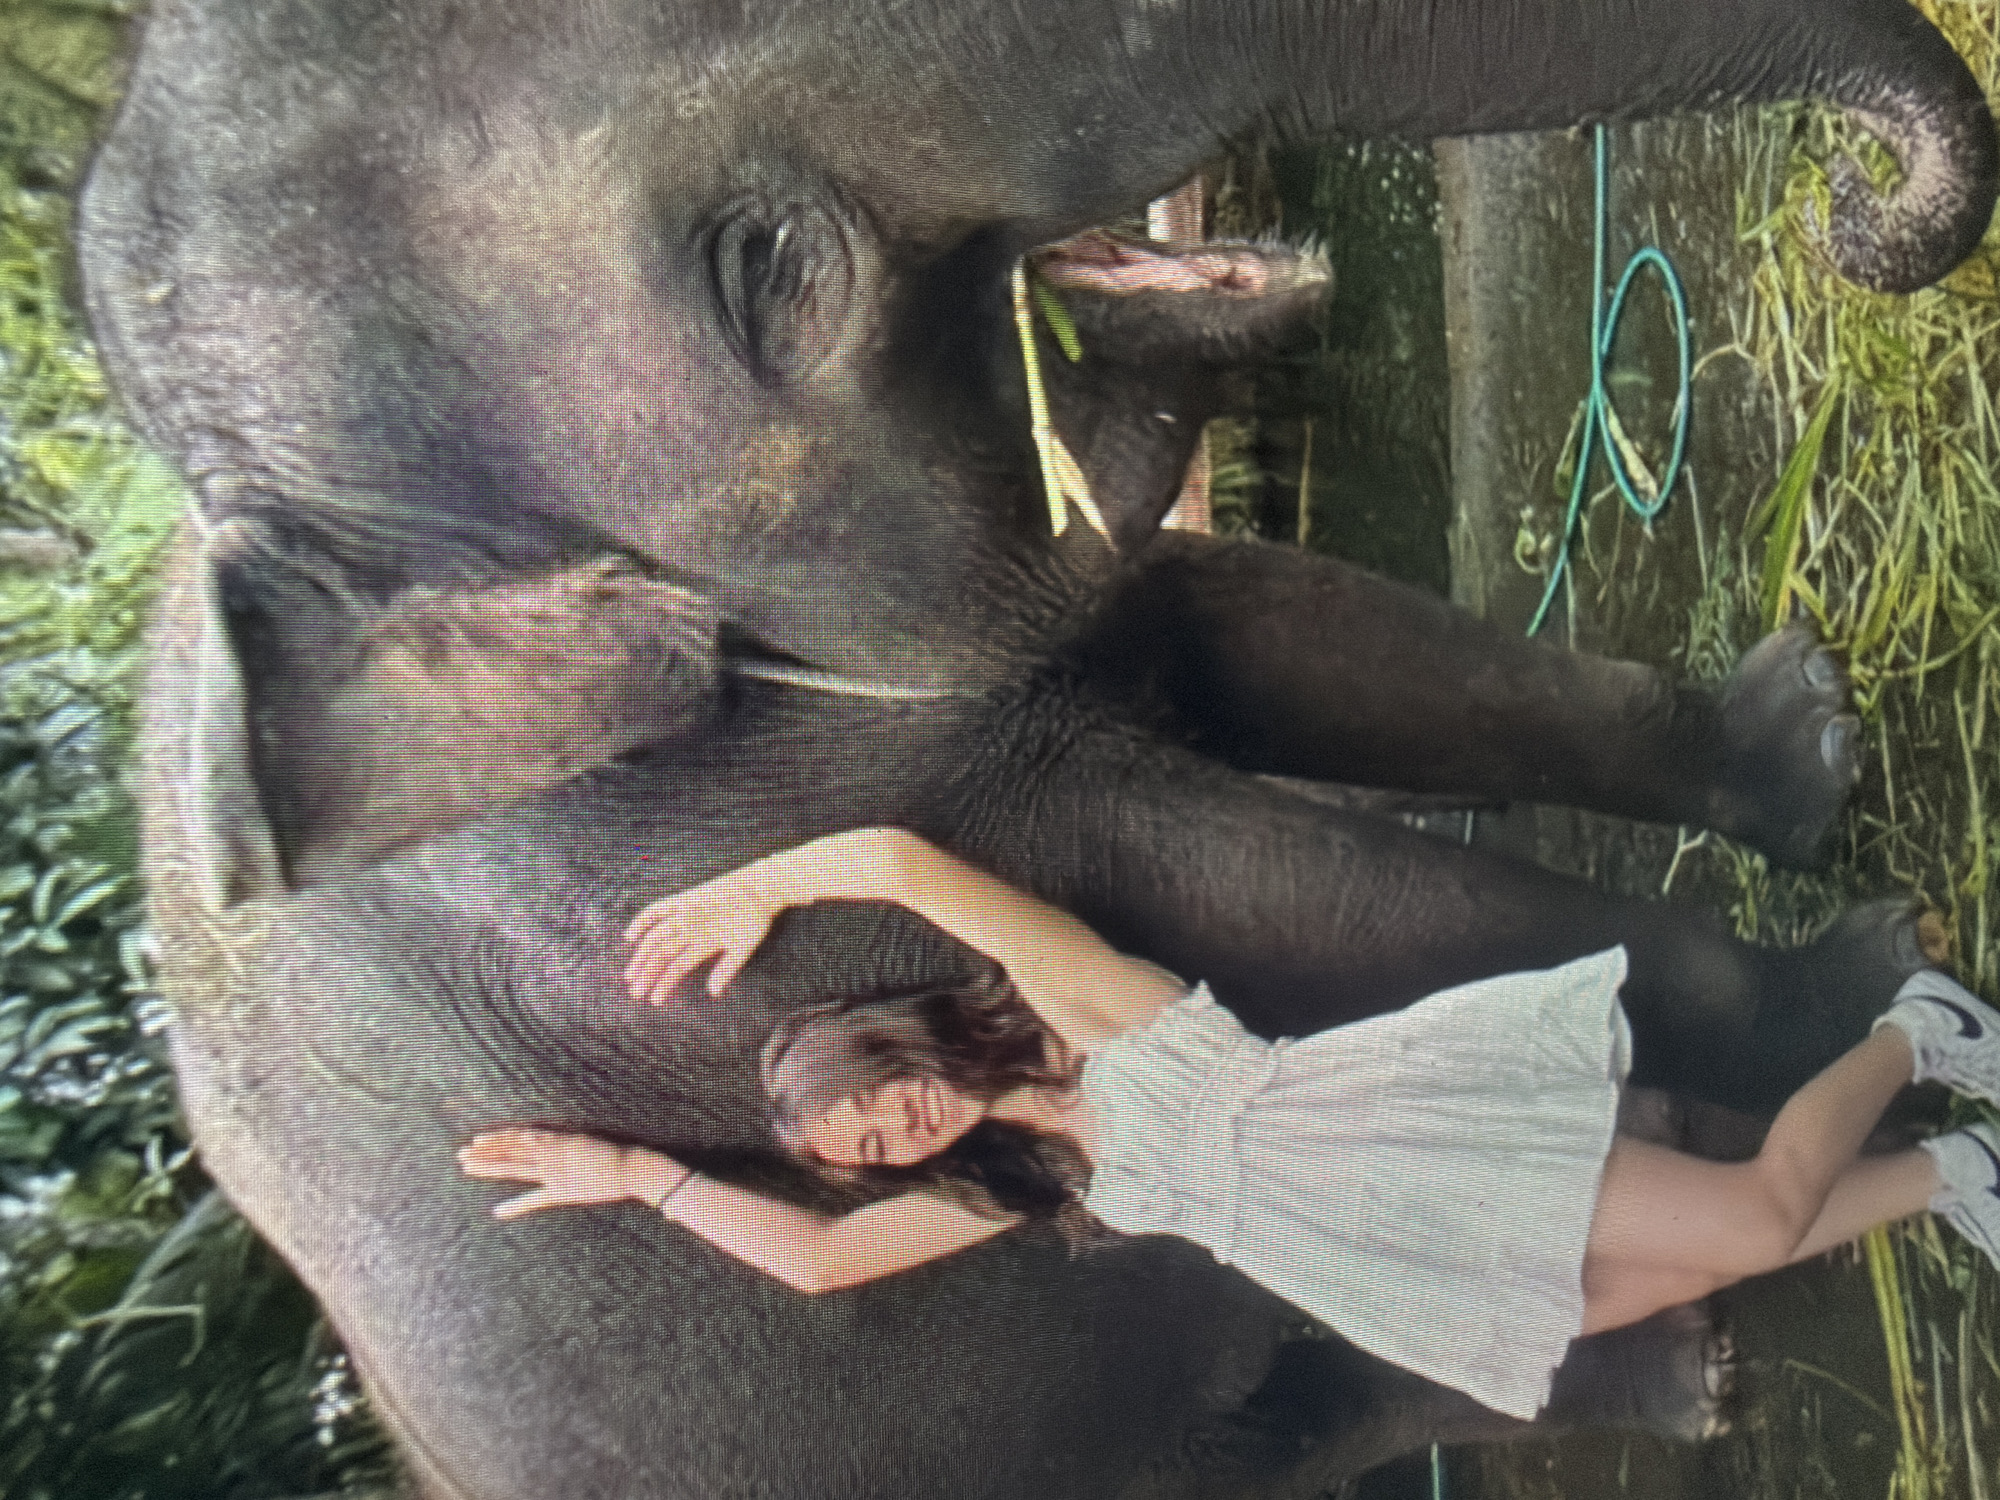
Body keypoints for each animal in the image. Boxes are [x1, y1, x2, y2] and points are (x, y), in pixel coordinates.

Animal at [81, 0, 1997, 1495]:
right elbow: (1278, 908)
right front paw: (1877, 978)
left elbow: (1274, 635)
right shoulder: (688, 887)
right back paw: (1693, 1359)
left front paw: (1809, 741)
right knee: (1287, 1405)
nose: (1853, 204)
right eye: (770, 267)